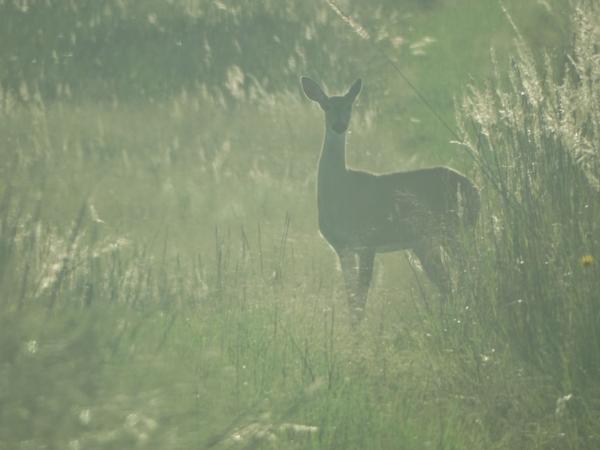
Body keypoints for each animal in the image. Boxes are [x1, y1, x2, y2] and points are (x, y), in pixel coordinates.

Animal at [302, 77, 480, 324]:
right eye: (326, 106)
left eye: (349, 105)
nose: (340, 125)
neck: (342, 191)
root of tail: (477, 191)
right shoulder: (342, 247)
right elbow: (350, 295)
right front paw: (351, 328)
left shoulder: (368, 240)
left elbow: (361, 296)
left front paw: (359, 329)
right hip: (427, 241)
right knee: (449, 283)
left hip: (457, 229)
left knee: (468, 273)